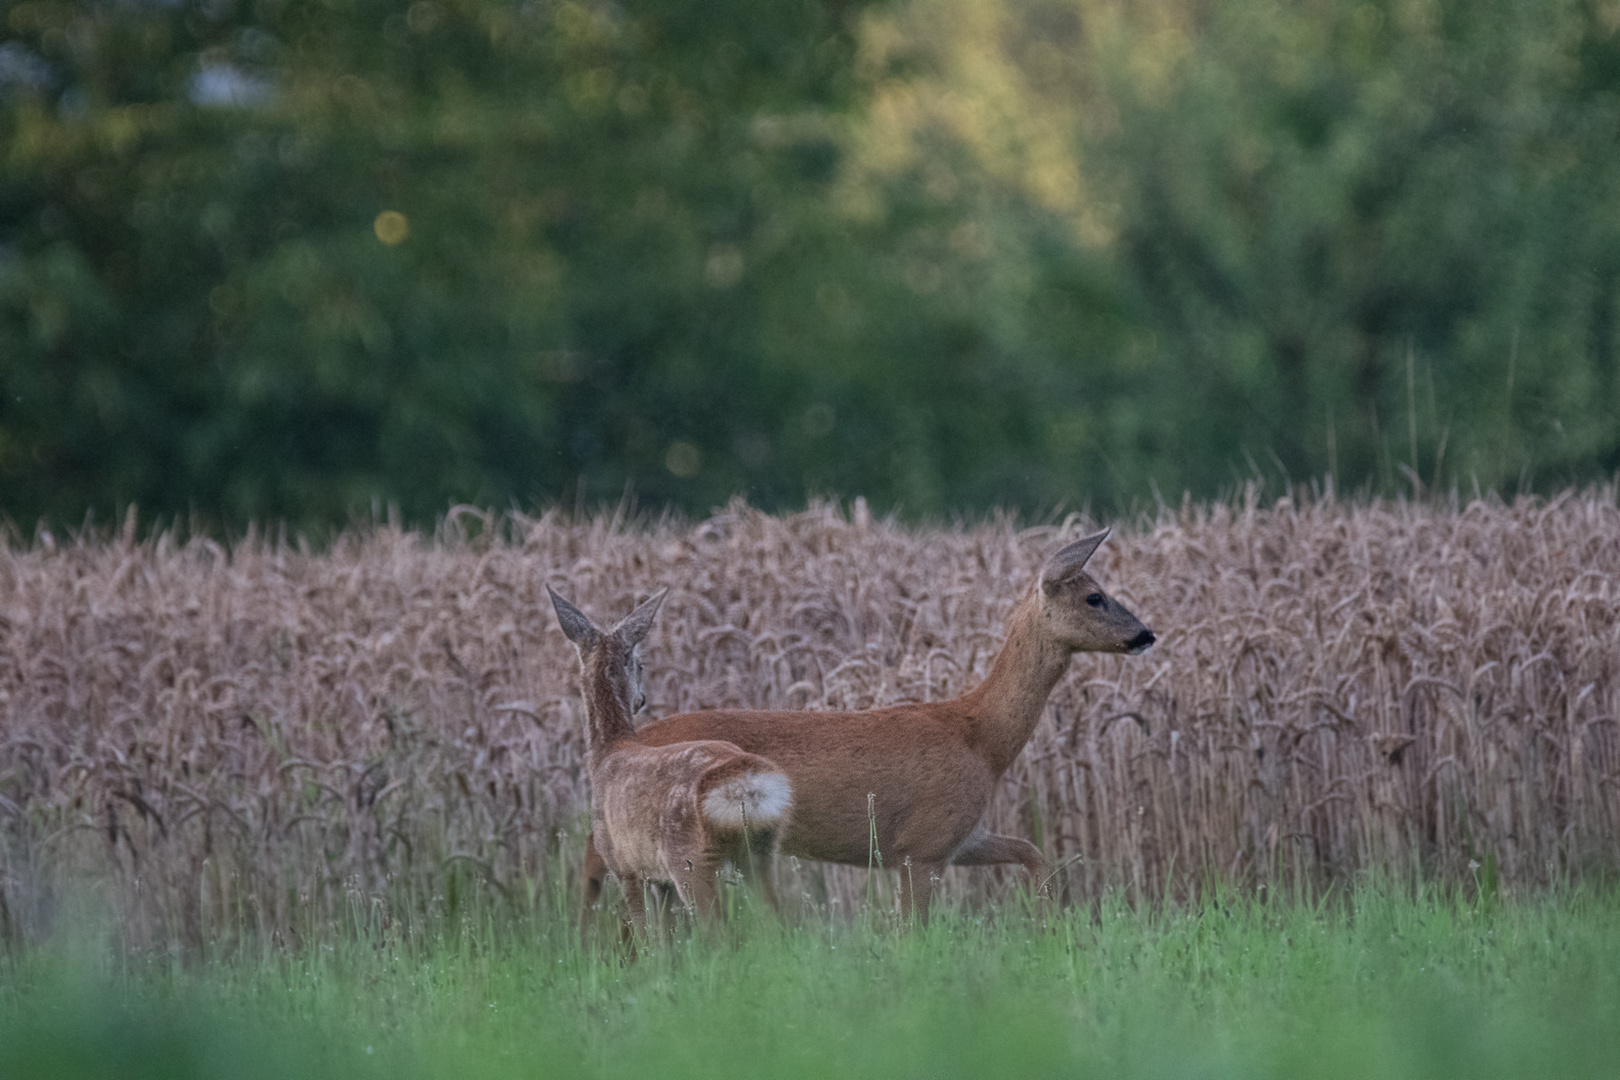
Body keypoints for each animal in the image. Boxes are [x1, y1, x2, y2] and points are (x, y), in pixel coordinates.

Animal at [547, 586, 793, 932]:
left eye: (641, 664)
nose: (641, 699)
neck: (609, 751)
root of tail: (747, 784)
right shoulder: (658, 879)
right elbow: (665, 937)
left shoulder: (623, 864)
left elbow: (645, 933)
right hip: (762, 848)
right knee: (780, 920)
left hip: (689, 859)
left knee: (714, 929)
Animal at [579, 531, 1153, 919]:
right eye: (1094, 596)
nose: (1146, 634)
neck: (981, 739)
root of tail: (620, 744)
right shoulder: (920, 846)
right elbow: (913, 932)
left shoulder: (958, 836)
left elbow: (1034, 854)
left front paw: (1051, 929)